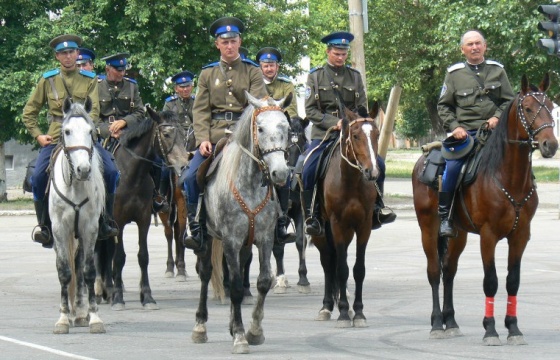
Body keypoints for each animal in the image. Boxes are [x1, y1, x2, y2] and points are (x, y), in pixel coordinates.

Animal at [92, 107, 188, 310]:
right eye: (166, 134)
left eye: (184, 134)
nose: (184, 165)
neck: (131, 174)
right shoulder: (118, 221)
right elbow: (119, 257)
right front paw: (118, 298)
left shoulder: (143, 219)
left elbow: (143, 256)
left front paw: (147, 297)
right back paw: (98, 289)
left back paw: (108, 288)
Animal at [310, 103, 380, 326]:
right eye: (355, 135)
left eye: (376, 134)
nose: (372, 172)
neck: (351, 181)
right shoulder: (337, 224)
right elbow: (341, 269)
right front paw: (342, 311)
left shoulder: (364, 226)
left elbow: (358, 269)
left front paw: (358, 312)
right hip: (320, 231)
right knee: (327, 262)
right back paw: (326, 306)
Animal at [410, 74, 556, 346]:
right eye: (528, 108)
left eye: (551, 107)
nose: (550, 144)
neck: (508, 178)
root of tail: (425, 156)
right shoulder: (488, 236)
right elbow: (491, 281)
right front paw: (491, 330)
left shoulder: (520, 236)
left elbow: (512, 281)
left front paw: (513, 328)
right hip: (428, 228)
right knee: (434, 271)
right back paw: (437, 323)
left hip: (459, 234)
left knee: (449, 271)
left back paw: (451, 322)